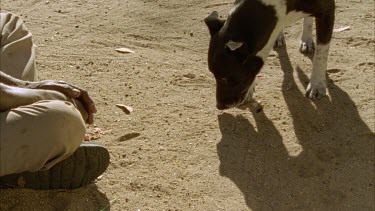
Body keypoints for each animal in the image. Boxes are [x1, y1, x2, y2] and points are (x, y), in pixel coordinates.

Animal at [204, 0, 336, 110]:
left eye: (226, 78)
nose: (219, 106)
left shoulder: (327, 11)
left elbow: (320, 55)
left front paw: (317, 85)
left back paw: (306, 39)